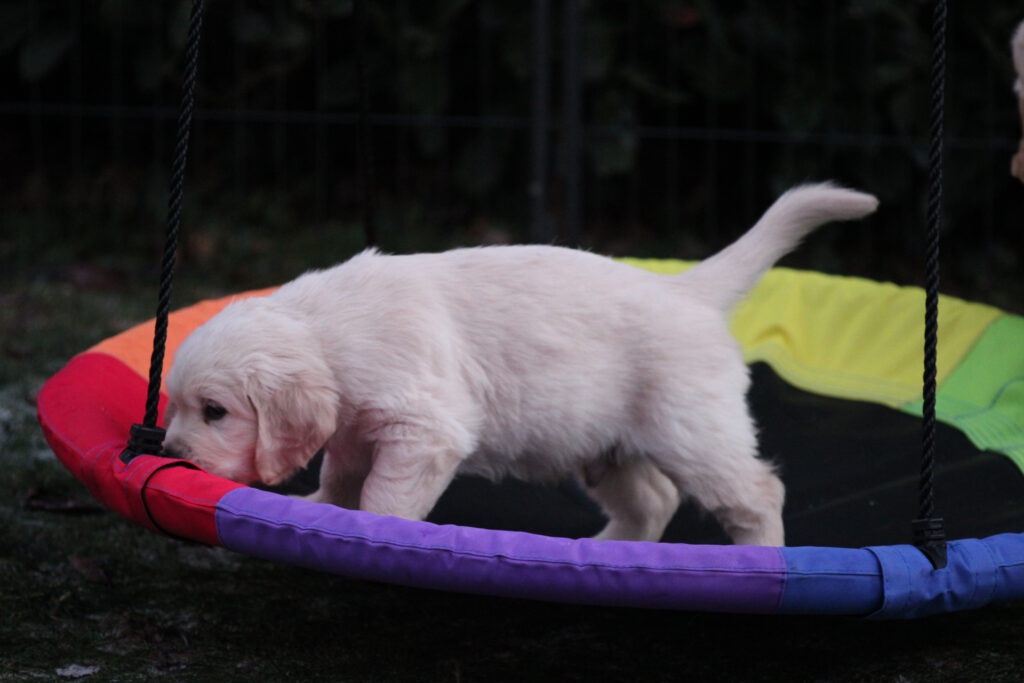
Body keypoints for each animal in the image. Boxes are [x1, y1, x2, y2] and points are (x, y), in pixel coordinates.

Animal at [163, 183, 877, 546]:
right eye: (173, 408)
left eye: (215, 412)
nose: (170, 453)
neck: (325, 329)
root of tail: (687, 291)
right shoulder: (356, 428)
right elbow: (341, 476)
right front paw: (320, 509)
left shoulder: (423, 431)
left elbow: (384, 496)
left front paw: (374, 529)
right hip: (601, 444)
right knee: (652, 500)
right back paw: (605, 557)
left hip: (693, 432)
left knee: (756, 495)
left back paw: (763, 564)